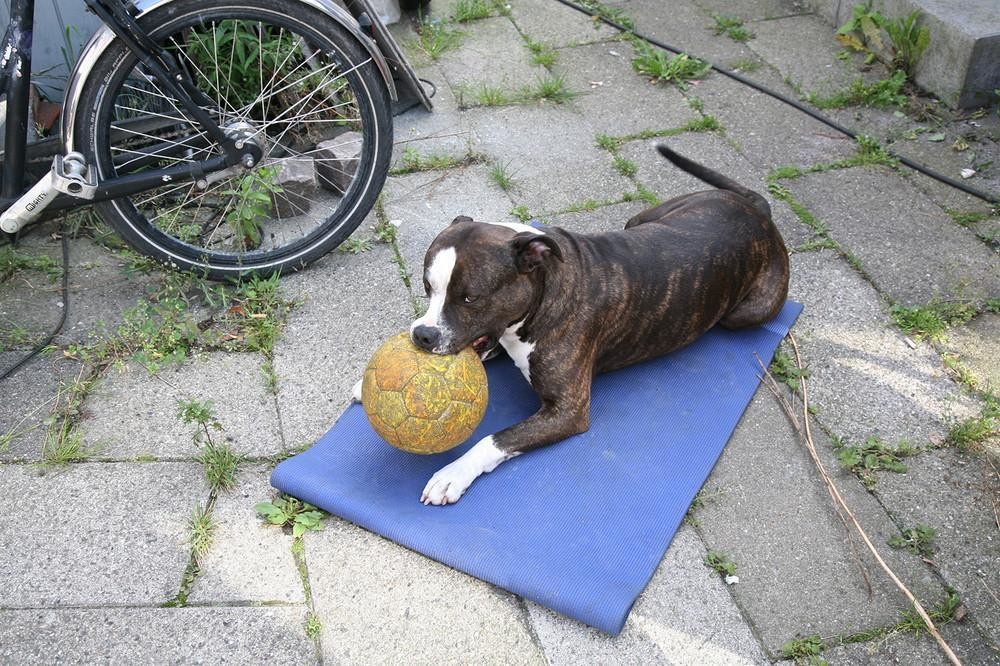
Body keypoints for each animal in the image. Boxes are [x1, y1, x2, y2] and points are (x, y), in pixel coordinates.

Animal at [376, 144, 789, 505]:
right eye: (427, 287)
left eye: (469, 298)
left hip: (746, 311)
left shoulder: (567, 411)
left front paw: (453, 474)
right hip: (647, 218)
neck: (544, 287)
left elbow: (495, 438)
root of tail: (758, 212)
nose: (422, 335)